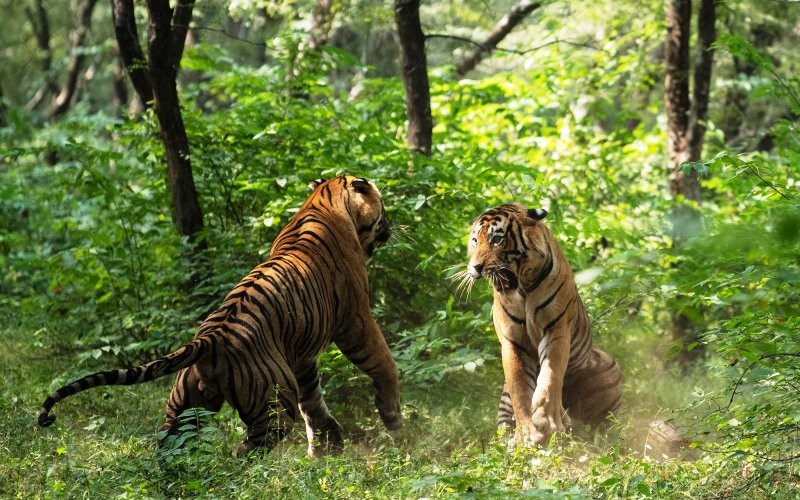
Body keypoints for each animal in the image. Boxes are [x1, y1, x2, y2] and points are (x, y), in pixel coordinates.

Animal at [38, 175, 402, 456]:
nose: (390, 227)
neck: (323, 201)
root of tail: (209, 339)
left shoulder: (300, 351)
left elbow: (312, 399)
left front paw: (327, 446)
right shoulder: (355, 319)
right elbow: (382, 362)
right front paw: (392, 417)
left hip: (185, 404)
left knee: (170, 444)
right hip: (273, 402)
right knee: (246, 453)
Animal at [465, 203, 621, 446]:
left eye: (497, 239)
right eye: (474, 240)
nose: (476, 267)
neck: (522, 288)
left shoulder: (556, 329)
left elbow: (550, 377)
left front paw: (547, 421)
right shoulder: (513, 341)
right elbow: (520, 387)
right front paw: (527, 433)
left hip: (608, 368)